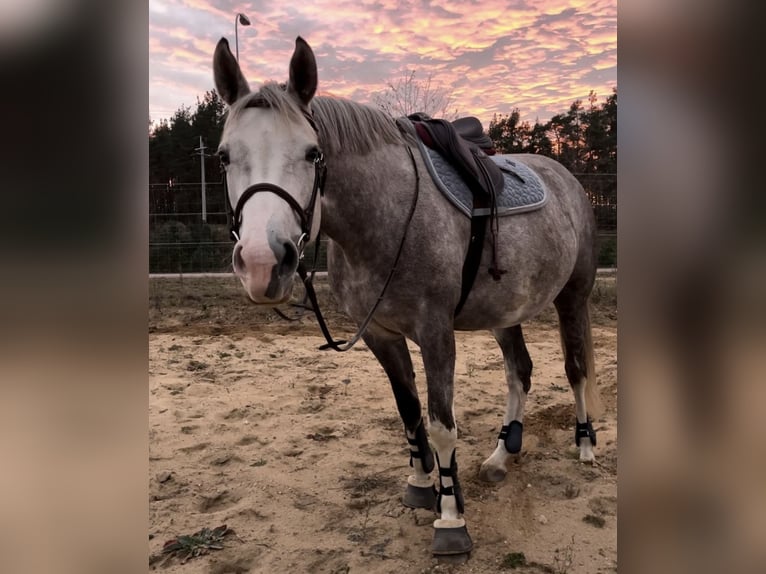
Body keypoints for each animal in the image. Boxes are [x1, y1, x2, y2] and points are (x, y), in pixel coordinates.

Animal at [213, 33, 604, 560]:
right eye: (224, 156)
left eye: (313, 153)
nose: (262, 263)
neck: (387, 216)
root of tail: (568, 179)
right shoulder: (381, 335)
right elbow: (409, 411)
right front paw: (421, 486)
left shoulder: (436, 334)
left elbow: (440, 424)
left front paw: (450, 518)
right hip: (506, 312)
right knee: (519, 372)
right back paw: (502, 454)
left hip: (573, 298)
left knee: (576, 369)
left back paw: (585, 443)